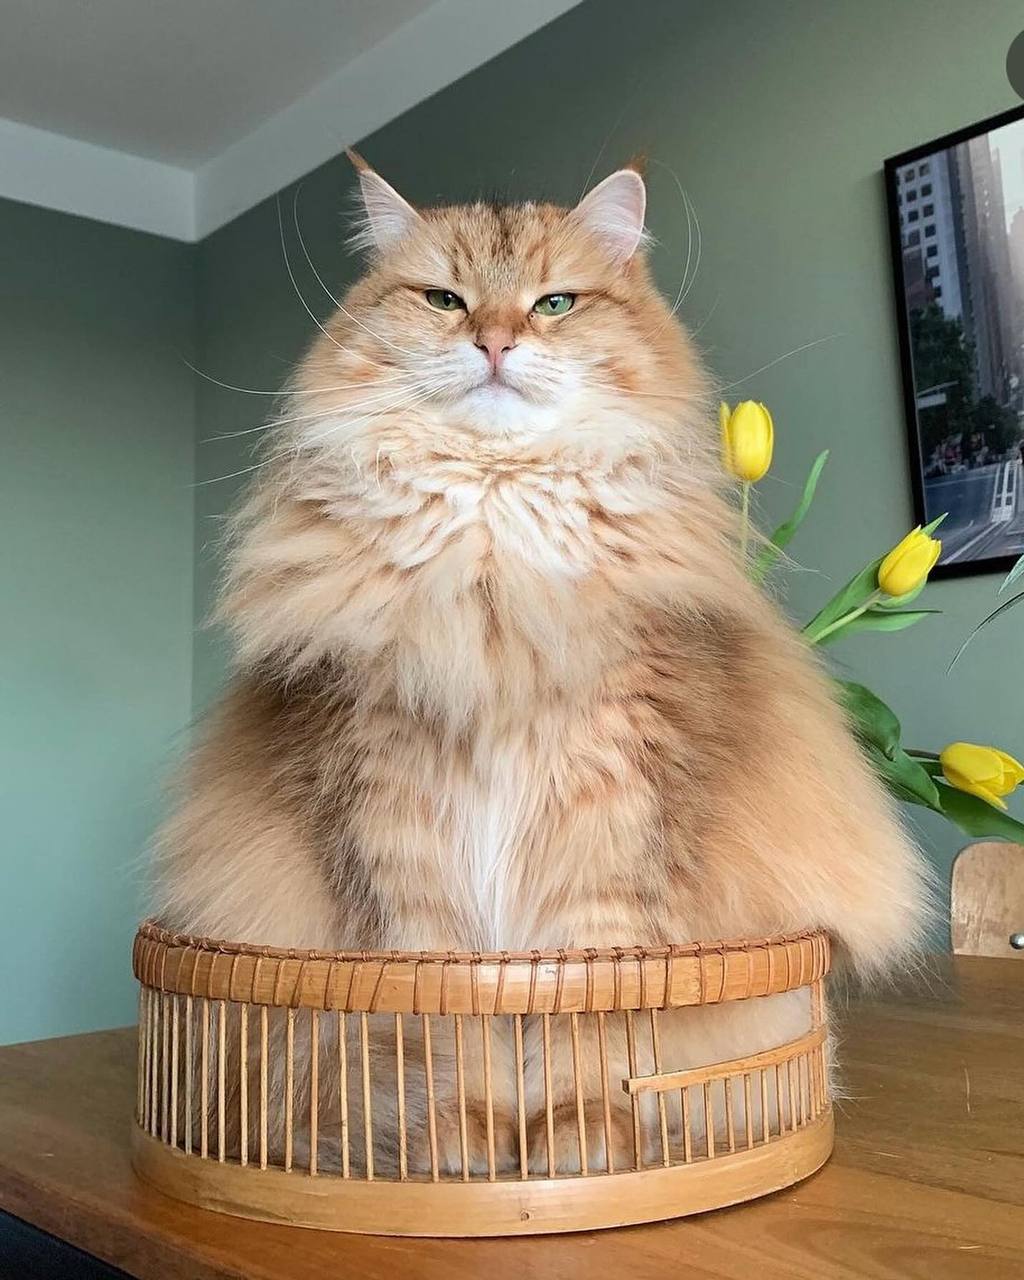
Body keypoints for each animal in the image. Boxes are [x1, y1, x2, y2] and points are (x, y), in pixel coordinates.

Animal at [152, 153, 929, 1174]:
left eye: (554, 303)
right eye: (444, 300)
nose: (494, 340)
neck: (492, 555)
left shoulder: (606, 818)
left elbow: (587, 1016)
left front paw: (578, 1143)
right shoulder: (399, 822)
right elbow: (451, 1012)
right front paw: (468, 1143)